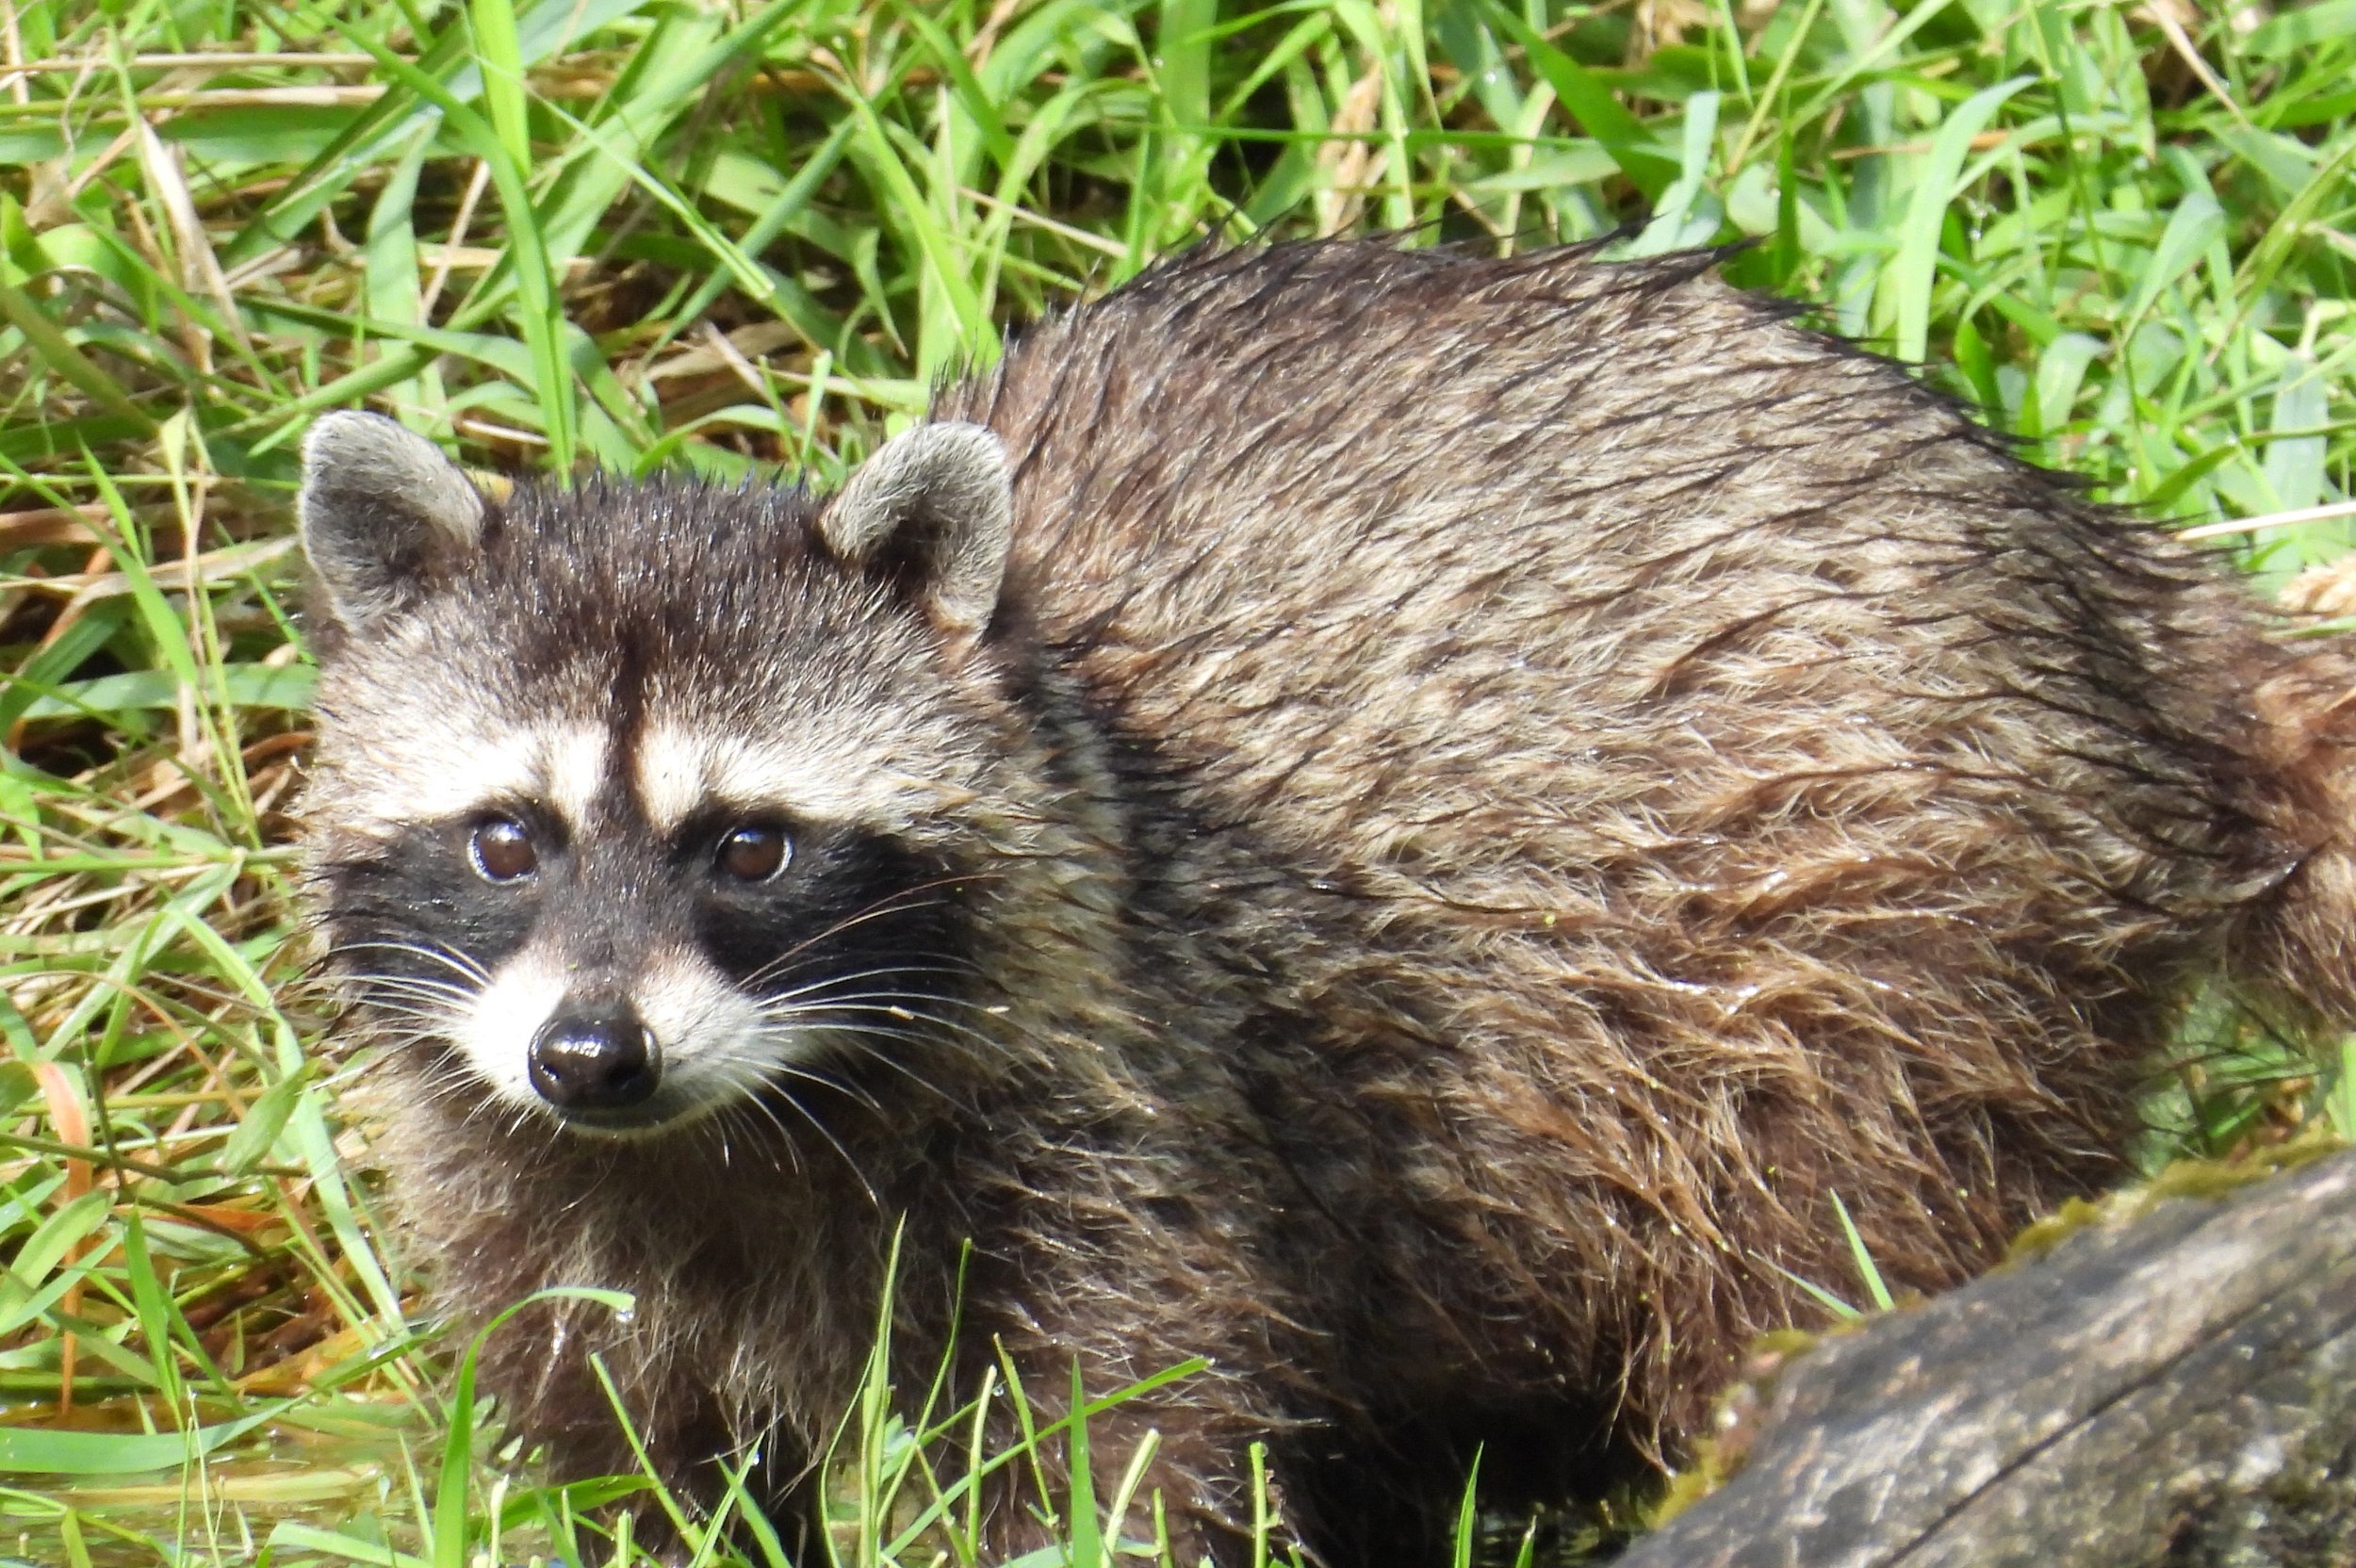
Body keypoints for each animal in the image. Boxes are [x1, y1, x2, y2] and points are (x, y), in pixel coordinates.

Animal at [295, 241, 2356, 1564]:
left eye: (748, 845)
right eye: (505, 837)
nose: (591, 1053)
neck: (726, 1130)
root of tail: (2087, 574)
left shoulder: (1131, 1103)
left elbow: (1120, 1449)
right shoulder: (528, 1181)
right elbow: (608, 1457)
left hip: (1889, 931)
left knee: (1827, 1244)